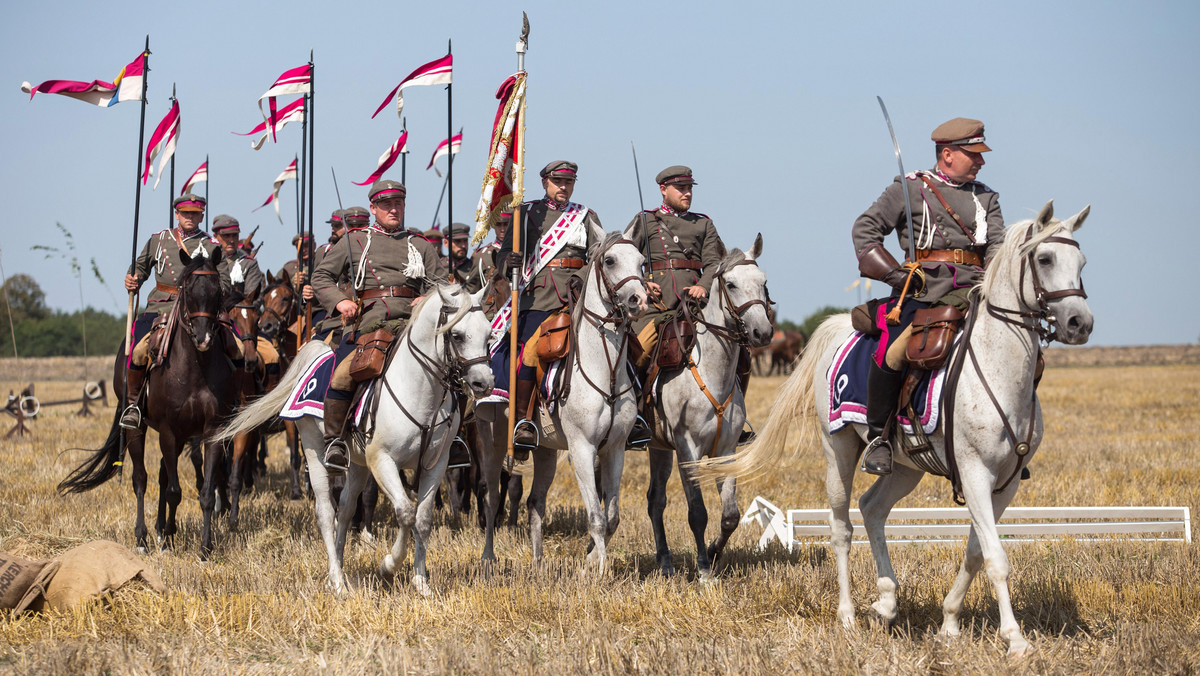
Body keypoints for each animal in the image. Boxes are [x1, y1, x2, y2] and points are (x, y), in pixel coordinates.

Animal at [60, 248, 238, 561]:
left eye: (217, 289)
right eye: (187, 288)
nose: (203, 337)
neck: (195, 367)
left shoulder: (212, 432)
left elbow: (204, 492)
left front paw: (204, 548)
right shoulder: (168, 431)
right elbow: (173, 490)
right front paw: (167, 540)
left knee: (162, 477)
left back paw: (161, 531)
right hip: (138, 429)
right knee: (140, 479)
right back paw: (143, 537)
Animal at [216, 284, 492, 593]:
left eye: (489, 334)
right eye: (457, 335)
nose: (484, 383)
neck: (420, 390)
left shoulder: (436, 464)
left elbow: (422, 519)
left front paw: (420, 582)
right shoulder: (382, 461)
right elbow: (405, 513)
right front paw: (389, 565)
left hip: (358, 464)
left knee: (346, 509)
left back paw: (337, 566)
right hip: (313, 449)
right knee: (326, 512)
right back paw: (337, 581)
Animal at [475, 226, 648, 571]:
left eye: (641, 261)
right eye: (610, 260)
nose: (640, 299)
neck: (604, 367)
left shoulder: (615, 449)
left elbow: (612, 517)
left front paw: (589, 560)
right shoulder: (582, 448)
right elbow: (596, 517)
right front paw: (597, 570)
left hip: (546, 451)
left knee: (535, 502)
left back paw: (538, 563)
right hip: (492, 443)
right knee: (490, 498)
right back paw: (488, 558)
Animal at [652, 235, 772, 578]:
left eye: (763, 282)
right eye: (730, 284)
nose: (762, 333)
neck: (711, 374)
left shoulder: (726, 450)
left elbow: (730, 515)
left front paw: (714, 554)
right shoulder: (687, 450)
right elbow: (697, 512)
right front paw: (704, 570)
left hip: (658, 448)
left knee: (655, 502)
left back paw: (665, 562)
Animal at [705, 200, 1094, 657]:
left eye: (1081, 262)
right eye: (1045, 258)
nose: (1079, 322)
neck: (997, 366)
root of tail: (841, 327)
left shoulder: (1005, 483)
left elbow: (976, 551)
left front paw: (949, 624)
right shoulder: (975, 473)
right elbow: (997, 558)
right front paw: (1014, 639)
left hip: (906, 467)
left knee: (872, 508)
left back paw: (887, 601)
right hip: (838, 452)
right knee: (842, 527)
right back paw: (848, 615)